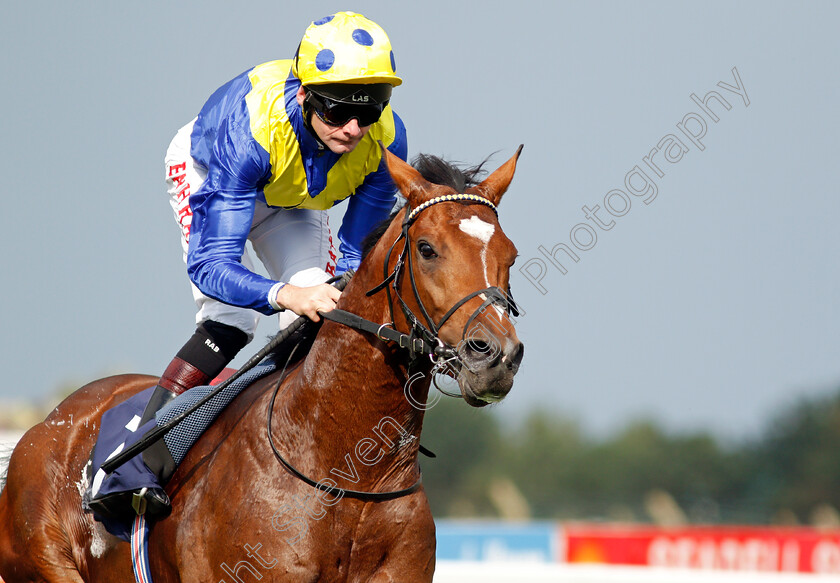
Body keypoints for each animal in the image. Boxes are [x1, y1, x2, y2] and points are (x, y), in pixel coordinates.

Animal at [0, 147, 520, 583]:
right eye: (427, 249)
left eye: (509, 255)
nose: (495, 355)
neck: (349, 472)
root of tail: (44, 426)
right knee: (224, 322)